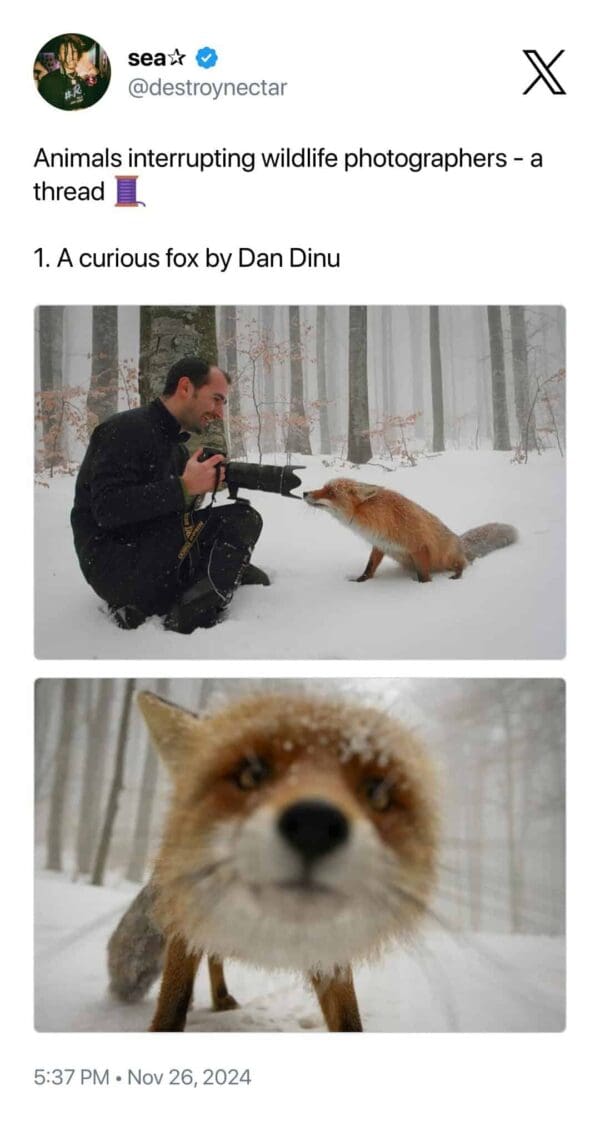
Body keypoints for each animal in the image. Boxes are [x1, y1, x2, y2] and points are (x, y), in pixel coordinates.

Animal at [107, 689, 439, 1032]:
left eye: (376, 793)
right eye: (250, 775)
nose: (314, 826)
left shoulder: (330, 949)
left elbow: (349, 1020)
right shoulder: (185, 924)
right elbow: (173, 1005)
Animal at [304, 478, 517, 583]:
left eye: (331, 492)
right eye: (323, 487)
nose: (305, 493)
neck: (379, 518)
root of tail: (461, 542)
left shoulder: (419, 547)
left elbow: (424, 577)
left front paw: (423, 589)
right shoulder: (380, 545)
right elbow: (369, 568)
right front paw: (360, 581)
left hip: (449, 557)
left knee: (462, 566)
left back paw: (457, 576)